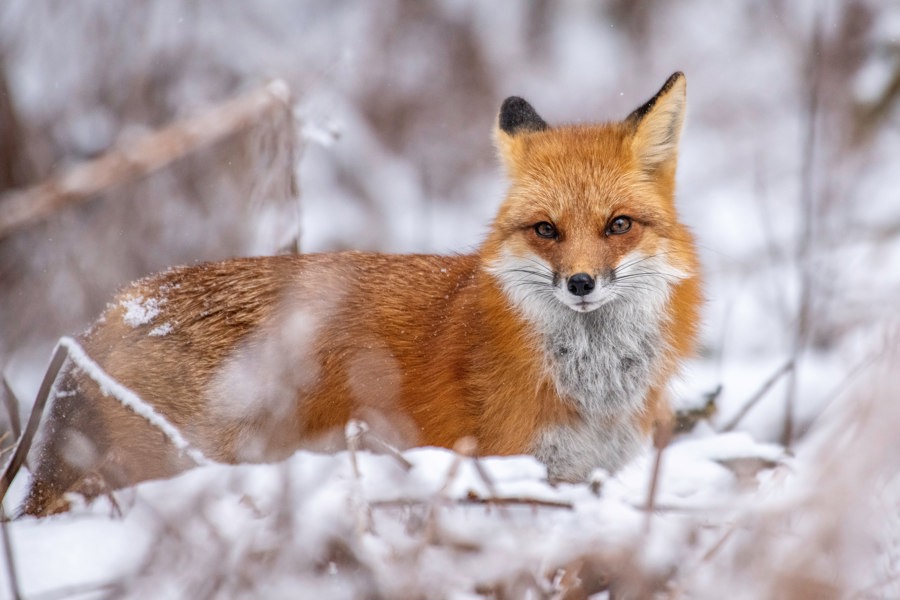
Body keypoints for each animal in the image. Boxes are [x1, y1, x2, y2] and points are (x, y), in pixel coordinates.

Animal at [19, 72, 696, 516]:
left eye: (618, 225)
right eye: (546, 230)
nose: (580, 283)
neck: (590, 386)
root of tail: (106, 318)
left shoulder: (580, 475)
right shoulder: (509, 472)